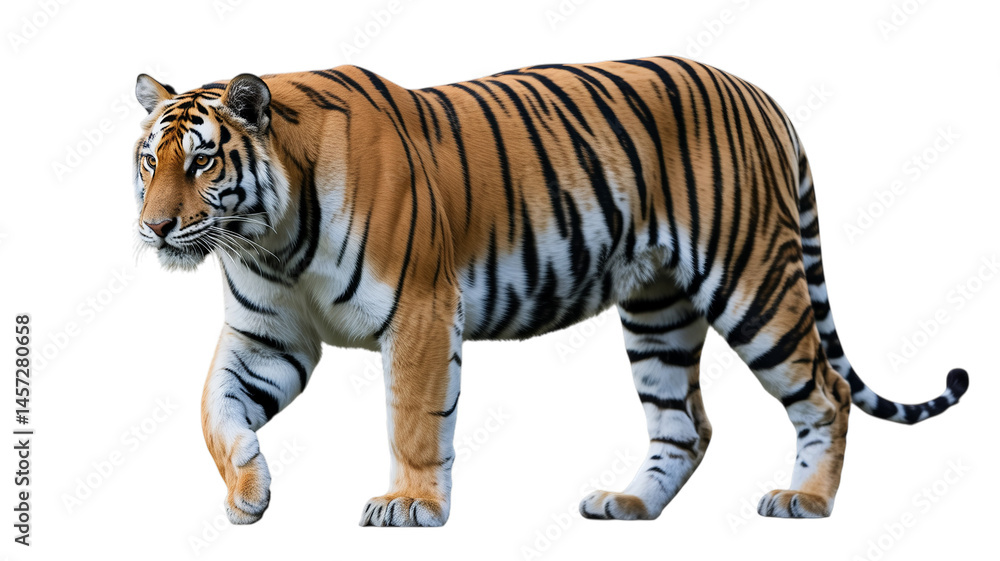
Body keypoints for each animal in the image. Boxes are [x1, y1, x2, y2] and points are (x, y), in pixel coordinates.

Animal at [132, 55, 969, 526]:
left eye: (202, 161)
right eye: (149, 161)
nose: (154, 227)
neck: (268, 239)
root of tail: (762, 95)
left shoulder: (421, 311)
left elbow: (412, 420)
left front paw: (410, 505)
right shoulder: (267, 336)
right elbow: (216, 411)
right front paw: (248, 491)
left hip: (753, 280)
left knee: (825, 388)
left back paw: (806, 502)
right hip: (658, 309)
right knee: (686, 424)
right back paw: (630, 506)